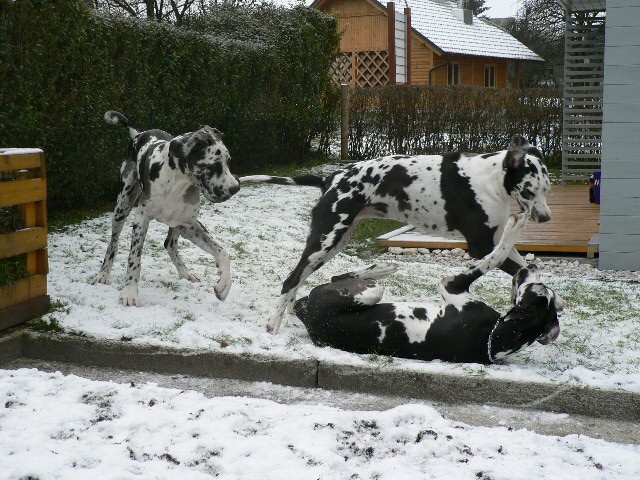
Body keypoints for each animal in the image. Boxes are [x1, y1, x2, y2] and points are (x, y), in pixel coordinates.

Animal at [90, 111, 240, 306]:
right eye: (213, 165)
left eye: (228, 161)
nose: (235, 188)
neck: (177, 182)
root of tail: (138, 134)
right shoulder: (141, 219)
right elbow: (134, 258)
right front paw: (130, 292)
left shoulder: (190, 226)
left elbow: (222, 252)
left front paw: (224, 285)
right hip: (122, 206)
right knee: (112, 244)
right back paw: (103, 273)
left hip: (176, 223)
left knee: (170, 244)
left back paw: (185, 272)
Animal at [242, 134, 552, 334]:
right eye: (529, 190)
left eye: (546, 189)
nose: (545, 218)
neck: (488, 179)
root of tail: (330, 177)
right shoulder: (482, 246)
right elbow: (509, 265)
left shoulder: (497, 241)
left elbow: (524, 268)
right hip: (326, 240)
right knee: (291, 278)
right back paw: (274, 323)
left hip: (331, 244)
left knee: (303, 276)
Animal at [292, 214, 564, 364]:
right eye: (541, 286)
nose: (530, 267)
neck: (495, 337)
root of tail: (305, 314)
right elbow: (497, 255)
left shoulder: (450, 284)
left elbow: (495, 256)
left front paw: (513, 230)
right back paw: (383, 266)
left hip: (370, 290)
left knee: (337, 276)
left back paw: (382, 268)